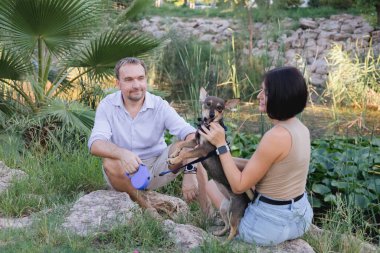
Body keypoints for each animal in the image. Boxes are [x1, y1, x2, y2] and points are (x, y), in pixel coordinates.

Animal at [167, 88, 251, 240]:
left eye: (220, 108)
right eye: (208, 104)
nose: (211, 115)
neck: (207, 126)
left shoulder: (202, 149)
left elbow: (186, 154)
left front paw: (175, 159)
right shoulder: (195, 142)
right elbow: (182, 144)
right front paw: (174, 154)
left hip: (233, 213)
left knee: (234, 230)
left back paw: (224, 243)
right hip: (224, 209)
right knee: (227, 225)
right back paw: (219, 234)